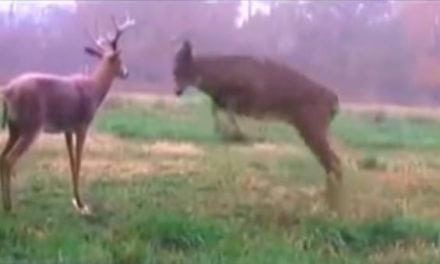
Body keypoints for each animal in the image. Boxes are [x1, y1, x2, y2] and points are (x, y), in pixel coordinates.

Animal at [0, 13, 136, 214]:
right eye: (119, 60)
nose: (126, 73)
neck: (94, 90)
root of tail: (7, 90)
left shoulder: (67, 129)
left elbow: (71, 162)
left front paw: (76, 201)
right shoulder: (82, 124)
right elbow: (78, 161)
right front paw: (82, 204)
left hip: (14, 127)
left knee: (2, 157)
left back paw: (4, 204)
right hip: (30, 125)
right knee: (9, 159)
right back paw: (10, 207)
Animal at [172, 40, 344, 214]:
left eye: (182, 70)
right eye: (174, 71)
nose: (177, 91)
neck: (217, 77)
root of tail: (334, 101)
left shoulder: (246, 95)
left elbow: (228, 110)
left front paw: (238, 135)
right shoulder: (223, 101)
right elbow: (216, 109)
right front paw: (226, 133)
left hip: (312, 124)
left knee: (334, 162)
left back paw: (332, 207)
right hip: (307, 127)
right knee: (330, 162)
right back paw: (328, 204)